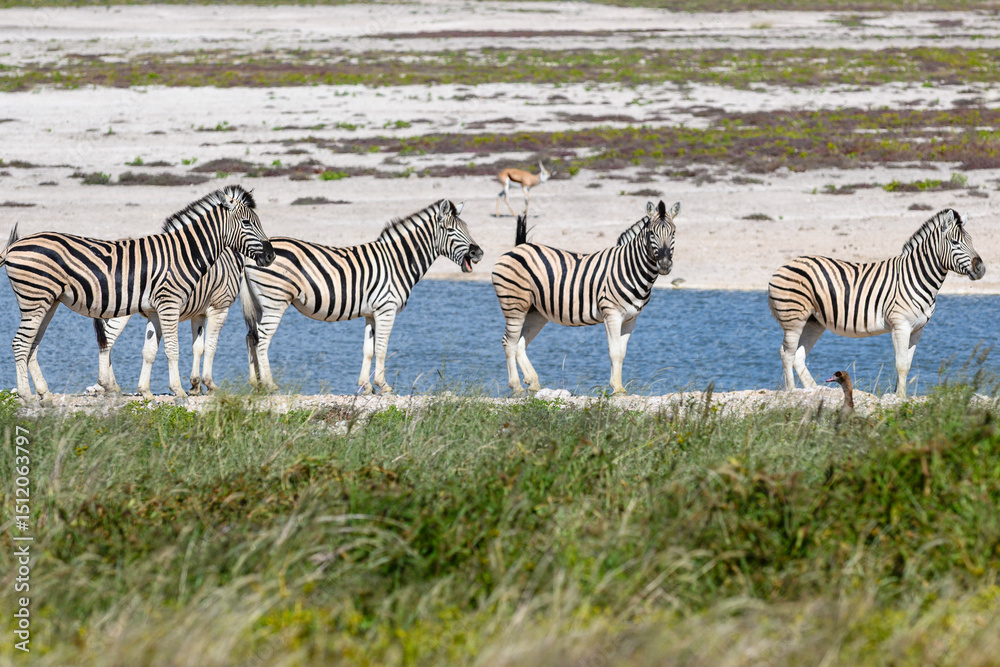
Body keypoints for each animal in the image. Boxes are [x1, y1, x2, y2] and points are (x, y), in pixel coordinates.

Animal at [93, 247, 244, 397]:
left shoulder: (199, 313)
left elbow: (198, 347)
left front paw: (195, 385)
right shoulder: (219, 308)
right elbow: (210, 347)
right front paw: (209, 384)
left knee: (106, 341)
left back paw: (112, 385)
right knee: (108, 341)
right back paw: (109, 385)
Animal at [241, 199, 482, 394]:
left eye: (467, 228)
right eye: (450, 230)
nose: (478, 253)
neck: (398, 261)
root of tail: (250, 256)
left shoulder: (370, 313)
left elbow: (368, 349)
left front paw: (365, 386)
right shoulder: (386, 309)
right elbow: (382, 348)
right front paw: (383, 385)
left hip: (261, 303)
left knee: (252, 336)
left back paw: (256, 383)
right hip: (275, 301)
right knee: (263, 339)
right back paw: (270, 384)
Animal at [491, 200, 679, 396]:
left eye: (673, 233)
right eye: (651, 233)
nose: (665, 265)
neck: (630, 268)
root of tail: (519, 247)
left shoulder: (631, 318)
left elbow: (622, 352)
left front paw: (618, 387)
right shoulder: (611, 313)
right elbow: (615, 352)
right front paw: (617, 388)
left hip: (536, 312)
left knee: (520, 343)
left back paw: (533, 382)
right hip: (514, 305)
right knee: (509, 343)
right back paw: (516, 386)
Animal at [767, 207, 985, 397]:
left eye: (972, 240)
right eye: (955, 243)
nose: (981, 269)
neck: (916, 276)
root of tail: (783, 265)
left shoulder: (917, 329)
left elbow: (907, 364)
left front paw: (898, 395)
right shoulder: (900, 325)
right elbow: (901, 365)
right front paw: (900, 398)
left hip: (813, 322)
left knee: (798, 356)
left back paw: (815, 391)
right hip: (793, 318)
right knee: (786, 354)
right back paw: (792, 392)